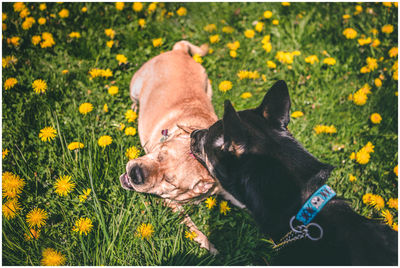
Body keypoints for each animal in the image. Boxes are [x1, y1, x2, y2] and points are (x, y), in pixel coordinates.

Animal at [119, 40, 219, 253]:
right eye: (159, 153)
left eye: (170, 182)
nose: (135, 174)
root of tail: (179, 51)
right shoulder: (171, 202)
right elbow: (188, 222)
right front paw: (207, 242)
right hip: (135, 86)